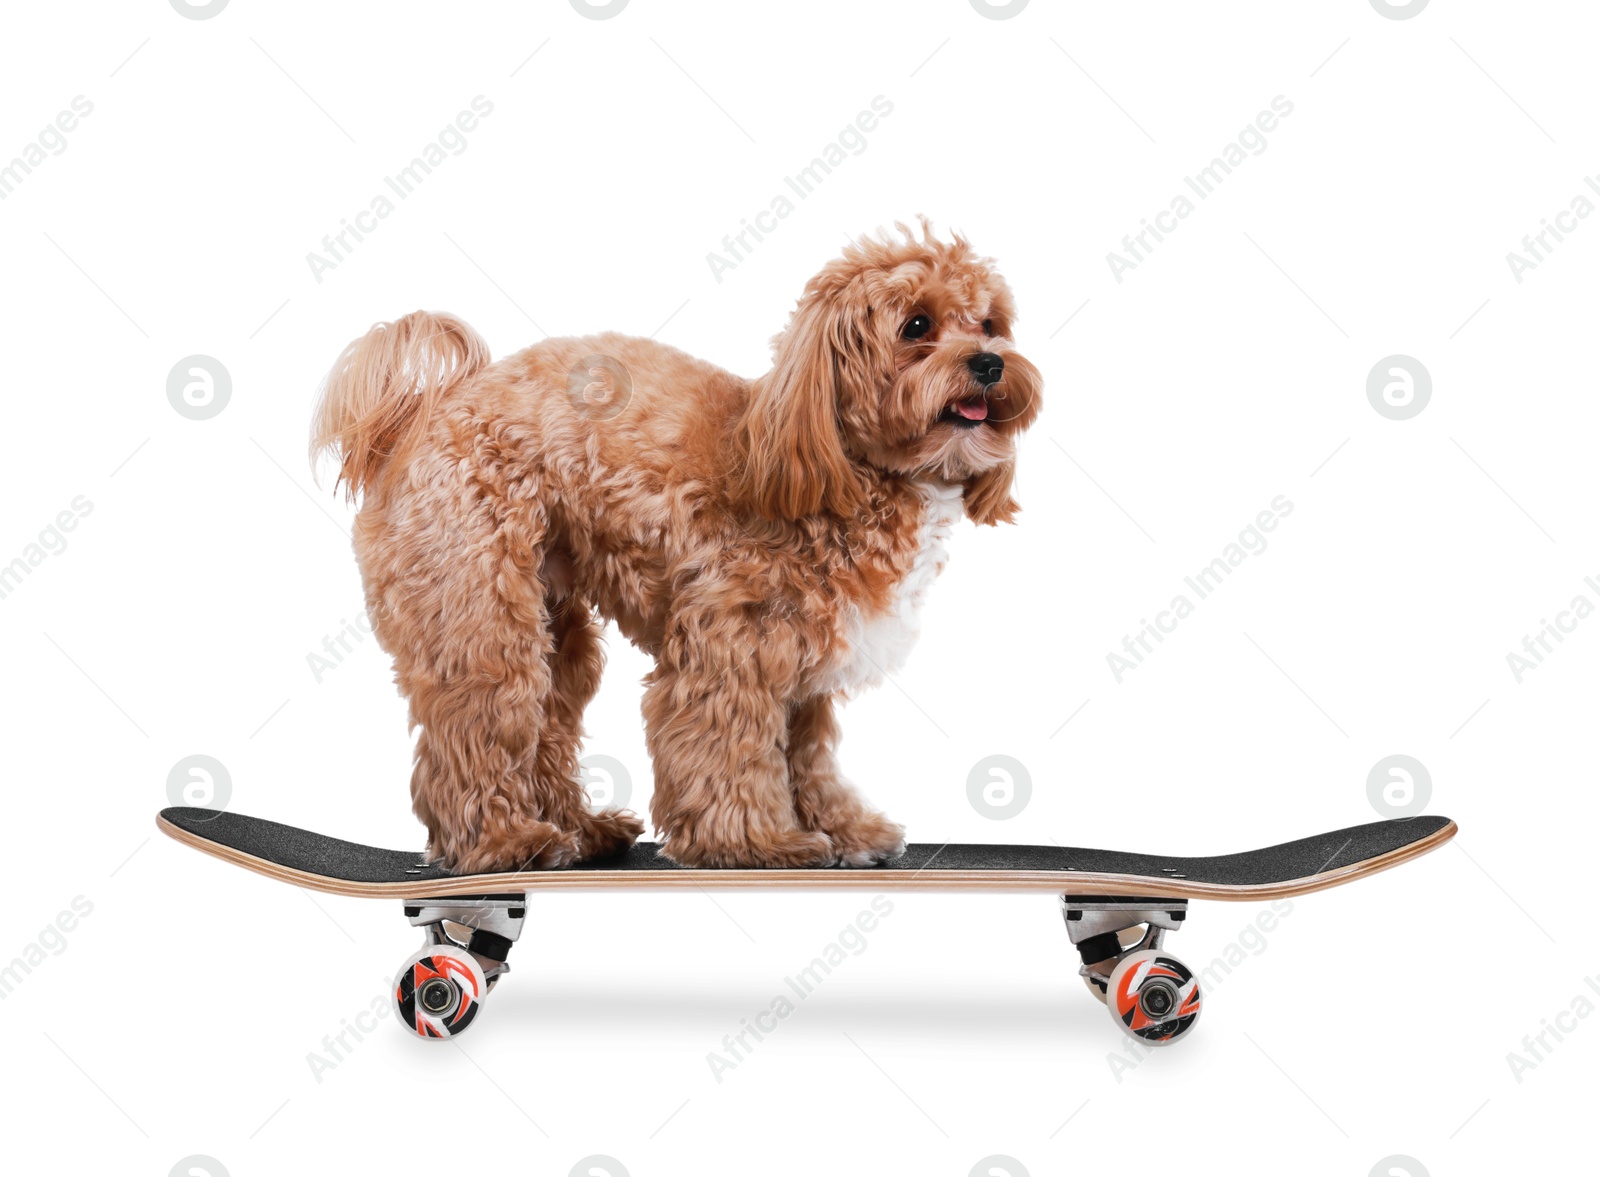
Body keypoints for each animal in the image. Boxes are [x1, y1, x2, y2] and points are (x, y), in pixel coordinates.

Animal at [313, 222, 1043, 876]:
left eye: (989, 323)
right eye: (916, 325)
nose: (990, 363)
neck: (836, 461)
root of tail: (421, 417)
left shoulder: (803, 658)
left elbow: (806, 751)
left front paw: (841, 828)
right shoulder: (731, 646)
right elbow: (729, 746)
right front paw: (756, 842)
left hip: (556, 624)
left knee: (548, 722)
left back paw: (583, 829)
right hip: (481, 609)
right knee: (478, 724)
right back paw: (505, 841)